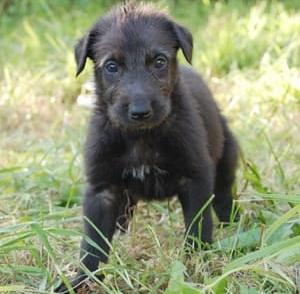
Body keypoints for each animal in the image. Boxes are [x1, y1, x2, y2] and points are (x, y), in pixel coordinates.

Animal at [56, 1, 239, 292]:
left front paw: (196, 264)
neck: (141, 137)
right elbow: (93, 242)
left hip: (227, 154)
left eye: (159, 61)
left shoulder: (196, 178)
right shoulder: (101, 189)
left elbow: (198, 225)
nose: (140, 111)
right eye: (111, 66)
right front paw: (82, 279)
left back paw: (232, 219)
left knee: (222, 193)